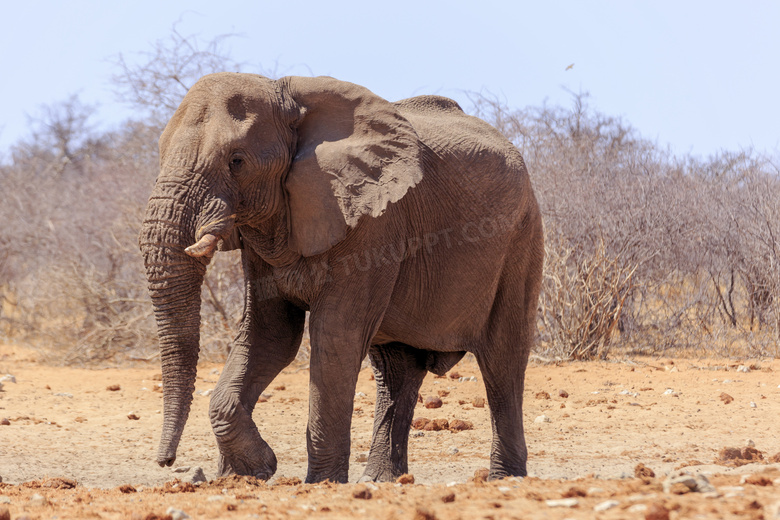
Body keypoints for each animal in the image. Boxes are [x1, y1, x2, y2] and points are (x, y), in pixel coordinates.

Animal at [139, 72, 544, 484]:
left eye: (237, 161)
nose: (166, 461)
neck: (290, 99)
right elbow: (269, 335)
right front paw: (249, 473)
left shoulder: (374, 222)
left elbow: (334, 335)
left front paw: (318, 483)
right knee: (396, 370)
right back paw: (380, 480)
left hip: (521, 237)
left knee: (502, 359)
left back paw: (504, 478)